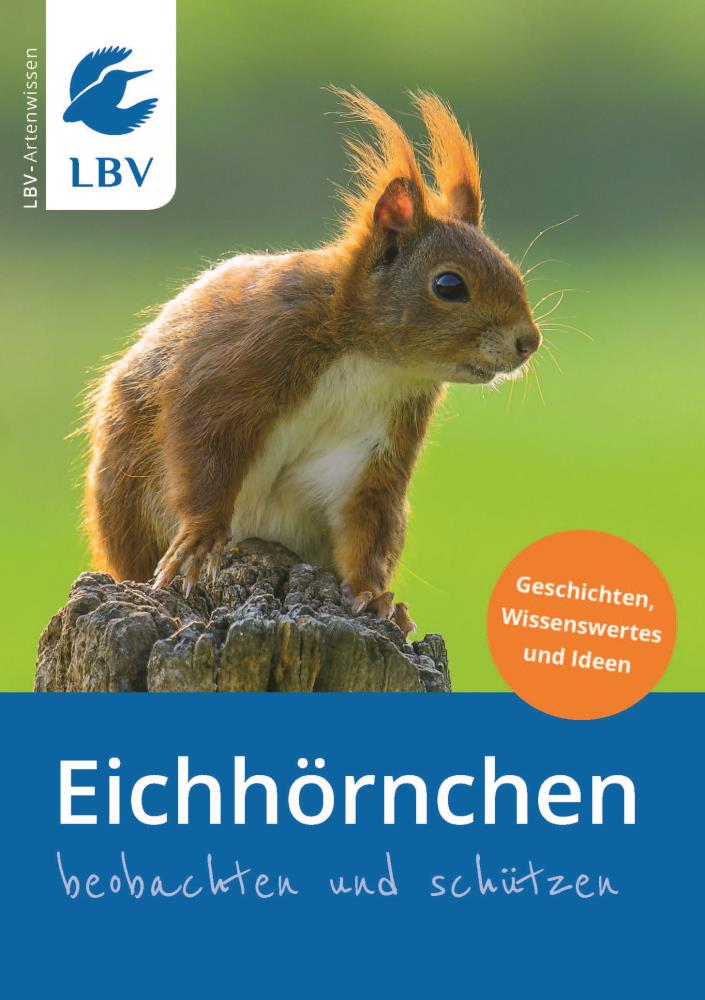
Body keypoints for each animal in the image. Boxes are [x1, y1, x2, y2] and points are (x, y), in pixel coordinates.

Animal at [84, 89, 541, 635]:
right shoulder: (241, 360)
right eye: (449, 285)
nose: (529, 342)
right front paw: (200, 538)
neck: (369, 358)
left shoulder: (376, 446)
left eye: (511, 269)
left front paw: (375, 597)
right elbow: (201, 444)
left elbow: (365, 522)